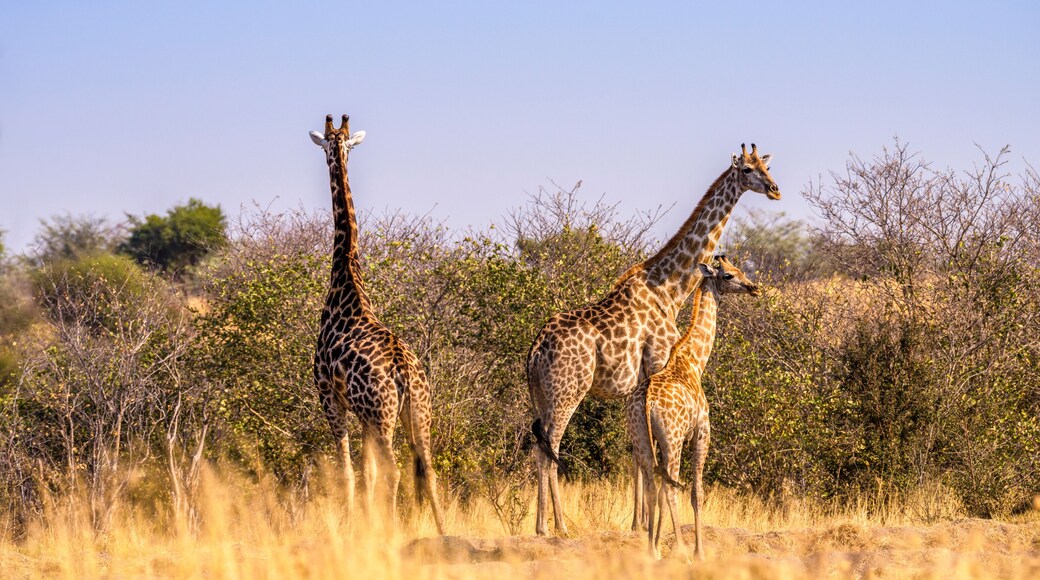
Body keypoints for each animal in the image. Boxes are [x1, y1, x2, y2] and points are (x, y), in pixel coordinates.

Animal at [310, 114, 446, 534]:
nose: (332, 152)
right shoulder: (364, 416)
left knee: (396, 471)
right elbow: (366, 474)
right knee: (427, 470)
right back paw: (442, 532)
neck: (346, 280)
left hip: (384, 415)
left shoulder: (330, 398)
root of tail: (404, 373)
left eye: (328, 145)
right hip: (418, 413)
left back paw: (393, 531)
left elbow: (349, 473)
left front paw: (356, 527)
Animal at [629, 257, 758, 560]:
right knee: (671, 488)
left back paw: (652, 551)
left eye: (740, 270)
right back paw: (682, 552)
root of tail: (647, 400)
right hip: (673, 440)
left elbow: (661, 493)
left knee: (653, 487)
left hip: (641, 439)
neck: (695, 362)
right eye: (728, 275)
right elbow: (697, 493)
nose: (753, 287)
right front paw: (700, 552)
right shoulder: (701, 435)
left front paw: (658, 544)